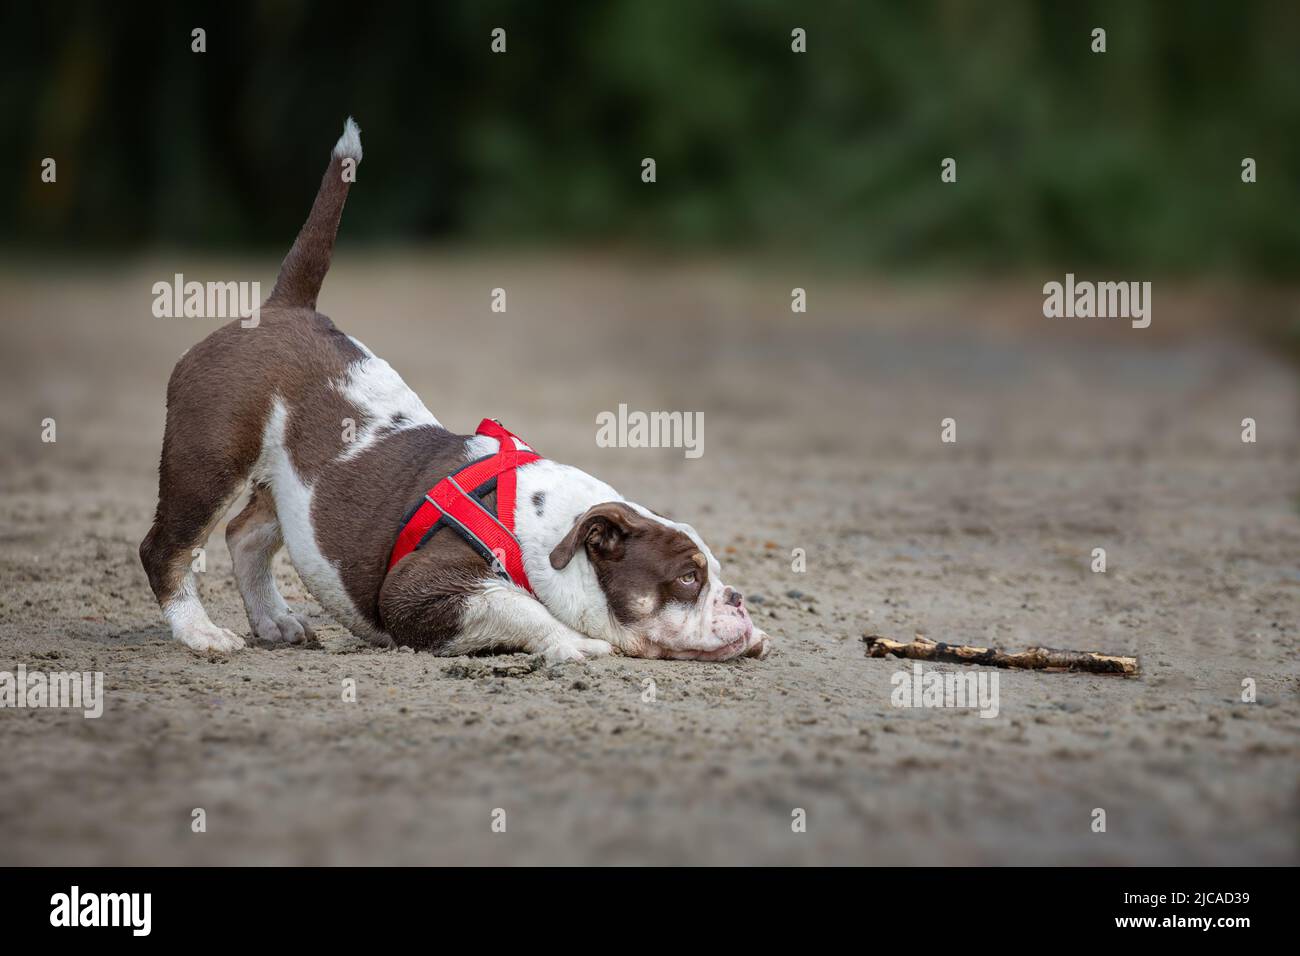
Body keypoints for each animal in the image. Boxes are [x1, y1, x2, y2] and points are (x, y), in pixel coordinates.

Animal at [139, 119, 769, 665]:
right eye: (687, 578)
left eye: (715, 574)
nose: (737, 598)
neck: (547, 533)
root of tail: (281, 309)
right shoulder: (420, 590)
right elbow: (519, 606)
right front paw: (574, 642)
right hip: (209, 460)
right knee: (167, 548)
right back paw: (199, 632)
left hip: (292, 491)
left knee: (247, 534)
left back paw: (274, 620)